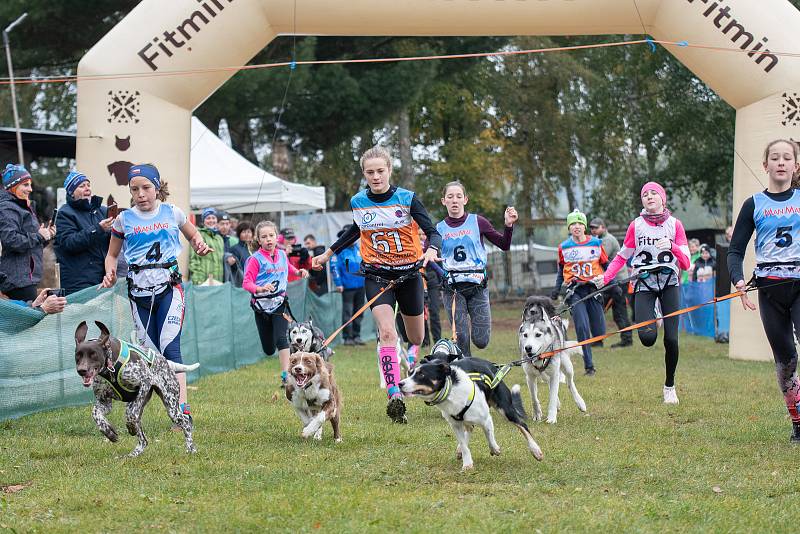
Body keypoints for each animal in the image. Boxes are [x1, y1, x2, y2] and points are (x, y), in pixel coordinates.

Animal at [74, 322, 200, 460]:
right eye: (78, 355)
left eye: (93, 354)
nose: (82, 370)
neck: (110, 369)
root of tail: (166, 362)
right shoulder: (104, 403)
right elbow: (95, 414)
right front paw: (108, 432)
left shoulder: (144, 382)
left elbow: (130, 413)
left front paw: (128, 425)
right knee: (144, 441)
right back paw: (132, 454)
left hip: (171, 407)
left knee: (185, 422)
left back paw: (191, 448)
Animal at [400, 358, 544, 472]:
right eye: (410, 373)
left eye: (421, 374)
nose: (400, 383)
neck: (450, 391)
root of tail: (493, 365)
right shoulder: (455, 424)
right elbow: (464, 444)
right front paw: (467, 463)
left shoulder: (486, 418)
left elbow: (489, 435)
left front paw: (494, 448)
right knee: (469, 428)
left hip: (505, 408)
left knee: (522, 424)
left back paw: (535, 450)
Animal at [520, 296, 588, 426]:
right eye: (525, 335)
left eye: (538, 334)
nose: (528, 348)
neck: (540, 358)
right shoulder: (529, 376)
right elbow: (533, 397)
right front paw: (537, 414)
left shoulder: (555, 374)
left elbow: (552, 396)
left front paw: (551, 418)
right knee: (549, 383)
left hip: (566, 366)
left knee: (569, 382)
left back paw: (580, 402)